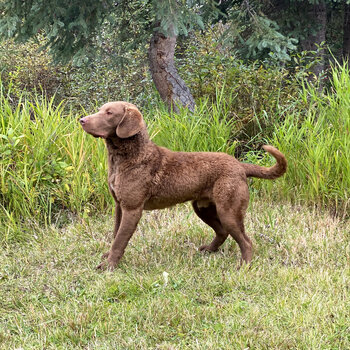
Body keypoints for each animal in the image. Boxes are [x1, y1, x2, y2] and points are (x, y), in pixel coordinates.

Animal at [79, 101, 288, 270]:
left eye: (109, 113)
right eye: (101, 110)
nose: (81, 120)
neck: (127, 158)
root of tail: (240, 165)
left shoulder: (132, 208)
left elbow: (120, 240)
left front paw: (109, 266)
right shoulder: (119, 206)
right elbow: (115, 234)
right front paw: (108, 258)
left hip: (229, 210)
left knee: (246, 241)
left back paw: (244, 266)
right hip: (203, 208)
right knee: (222, 232)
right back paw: (209, 250)